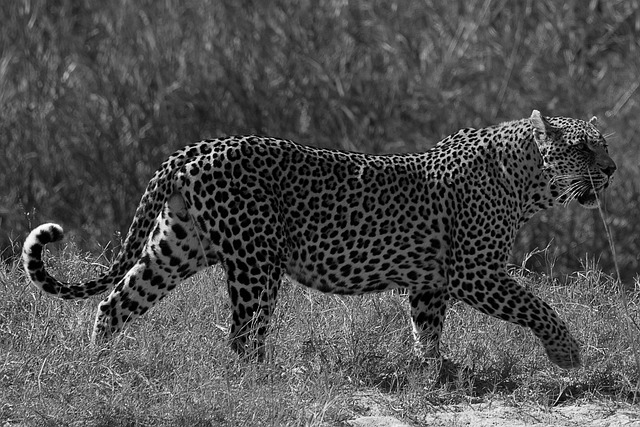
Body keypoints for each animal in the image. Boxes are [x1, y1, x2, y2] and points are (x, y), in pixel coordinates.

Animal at [22, 110, 615, 369]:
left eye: (602, 144)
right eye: (584, 148)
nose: (611, 170)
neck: (526, 179)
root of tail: (194, 147)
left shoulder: (430, 282)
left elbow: (428, 329)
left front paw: (433, 375)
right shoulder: (476, 272)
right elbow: (536, 305)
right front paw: (567, 353)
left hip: (177, 246)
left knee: (116, 300)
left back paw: (98, 366)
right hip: (256, 260)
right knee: (243, 335)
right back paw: (265, 381)